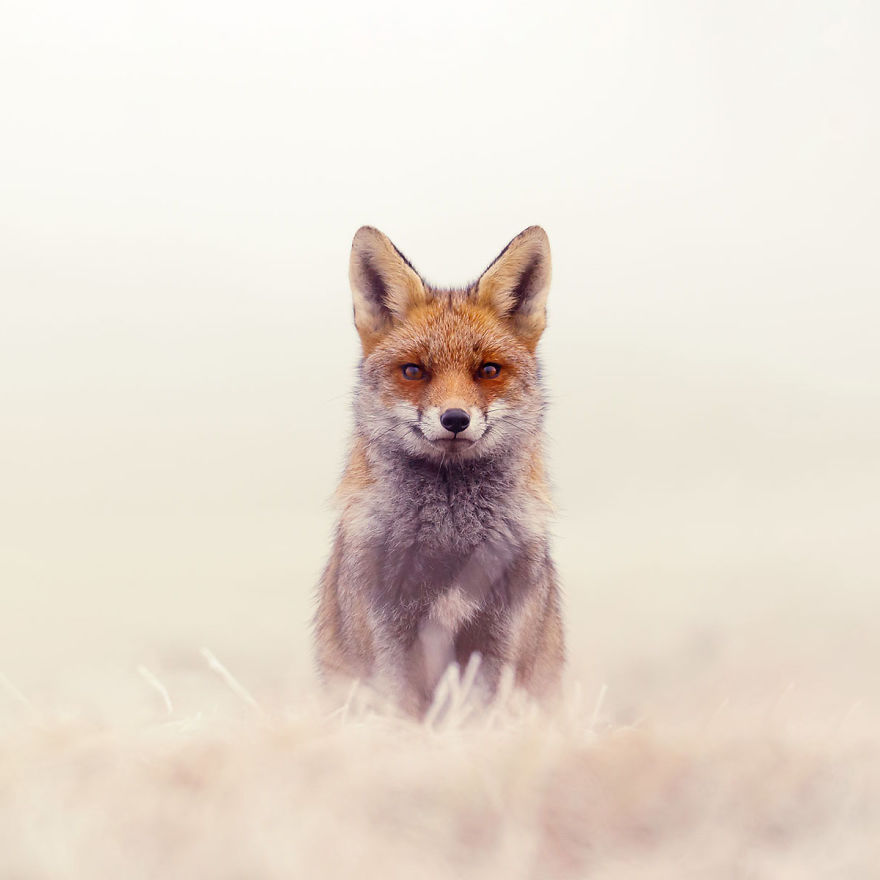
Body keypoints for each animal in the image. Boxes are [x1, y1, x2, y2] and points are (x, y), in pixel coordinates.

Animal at [313, 225, 564, 715]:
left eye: (488, 370)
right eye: (414, 371)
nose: (454, 419)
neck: (449, 539)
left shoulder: (501, 639)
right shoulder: (387, 640)